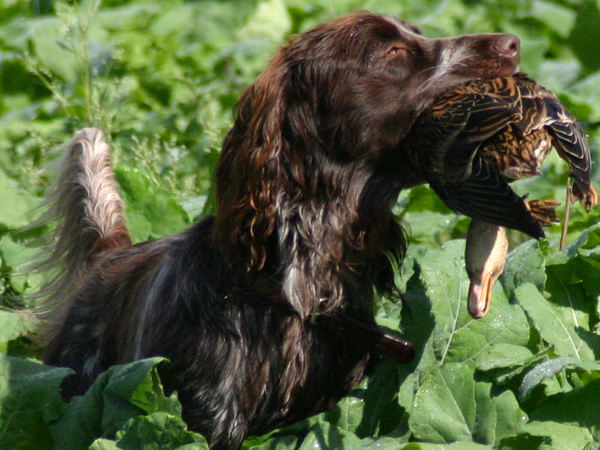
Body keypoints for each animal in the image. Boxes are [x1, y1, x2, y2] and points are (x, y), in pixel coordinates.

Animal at [34, 12, 520, 448]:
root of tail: (107, 255)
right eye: (393, 52)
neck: (301, 287)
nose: (512, 43)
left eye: (418, 33)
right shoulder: (206, 417)